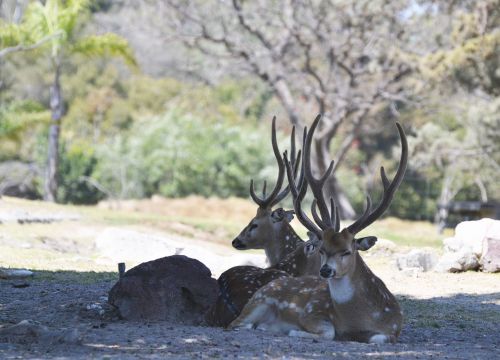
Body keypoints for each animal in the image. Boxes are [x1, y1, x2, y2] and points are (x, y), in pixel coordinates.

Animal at [229, 114, 406, 344]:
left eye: (347, 251)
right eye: (322, 250)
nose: (326, 270)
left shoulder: (394, 329)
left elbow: (377, 338)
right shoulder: (311, 312)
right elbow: (329, 332)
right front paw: (293, 331)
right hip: (260, 299)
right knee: (237, 324)